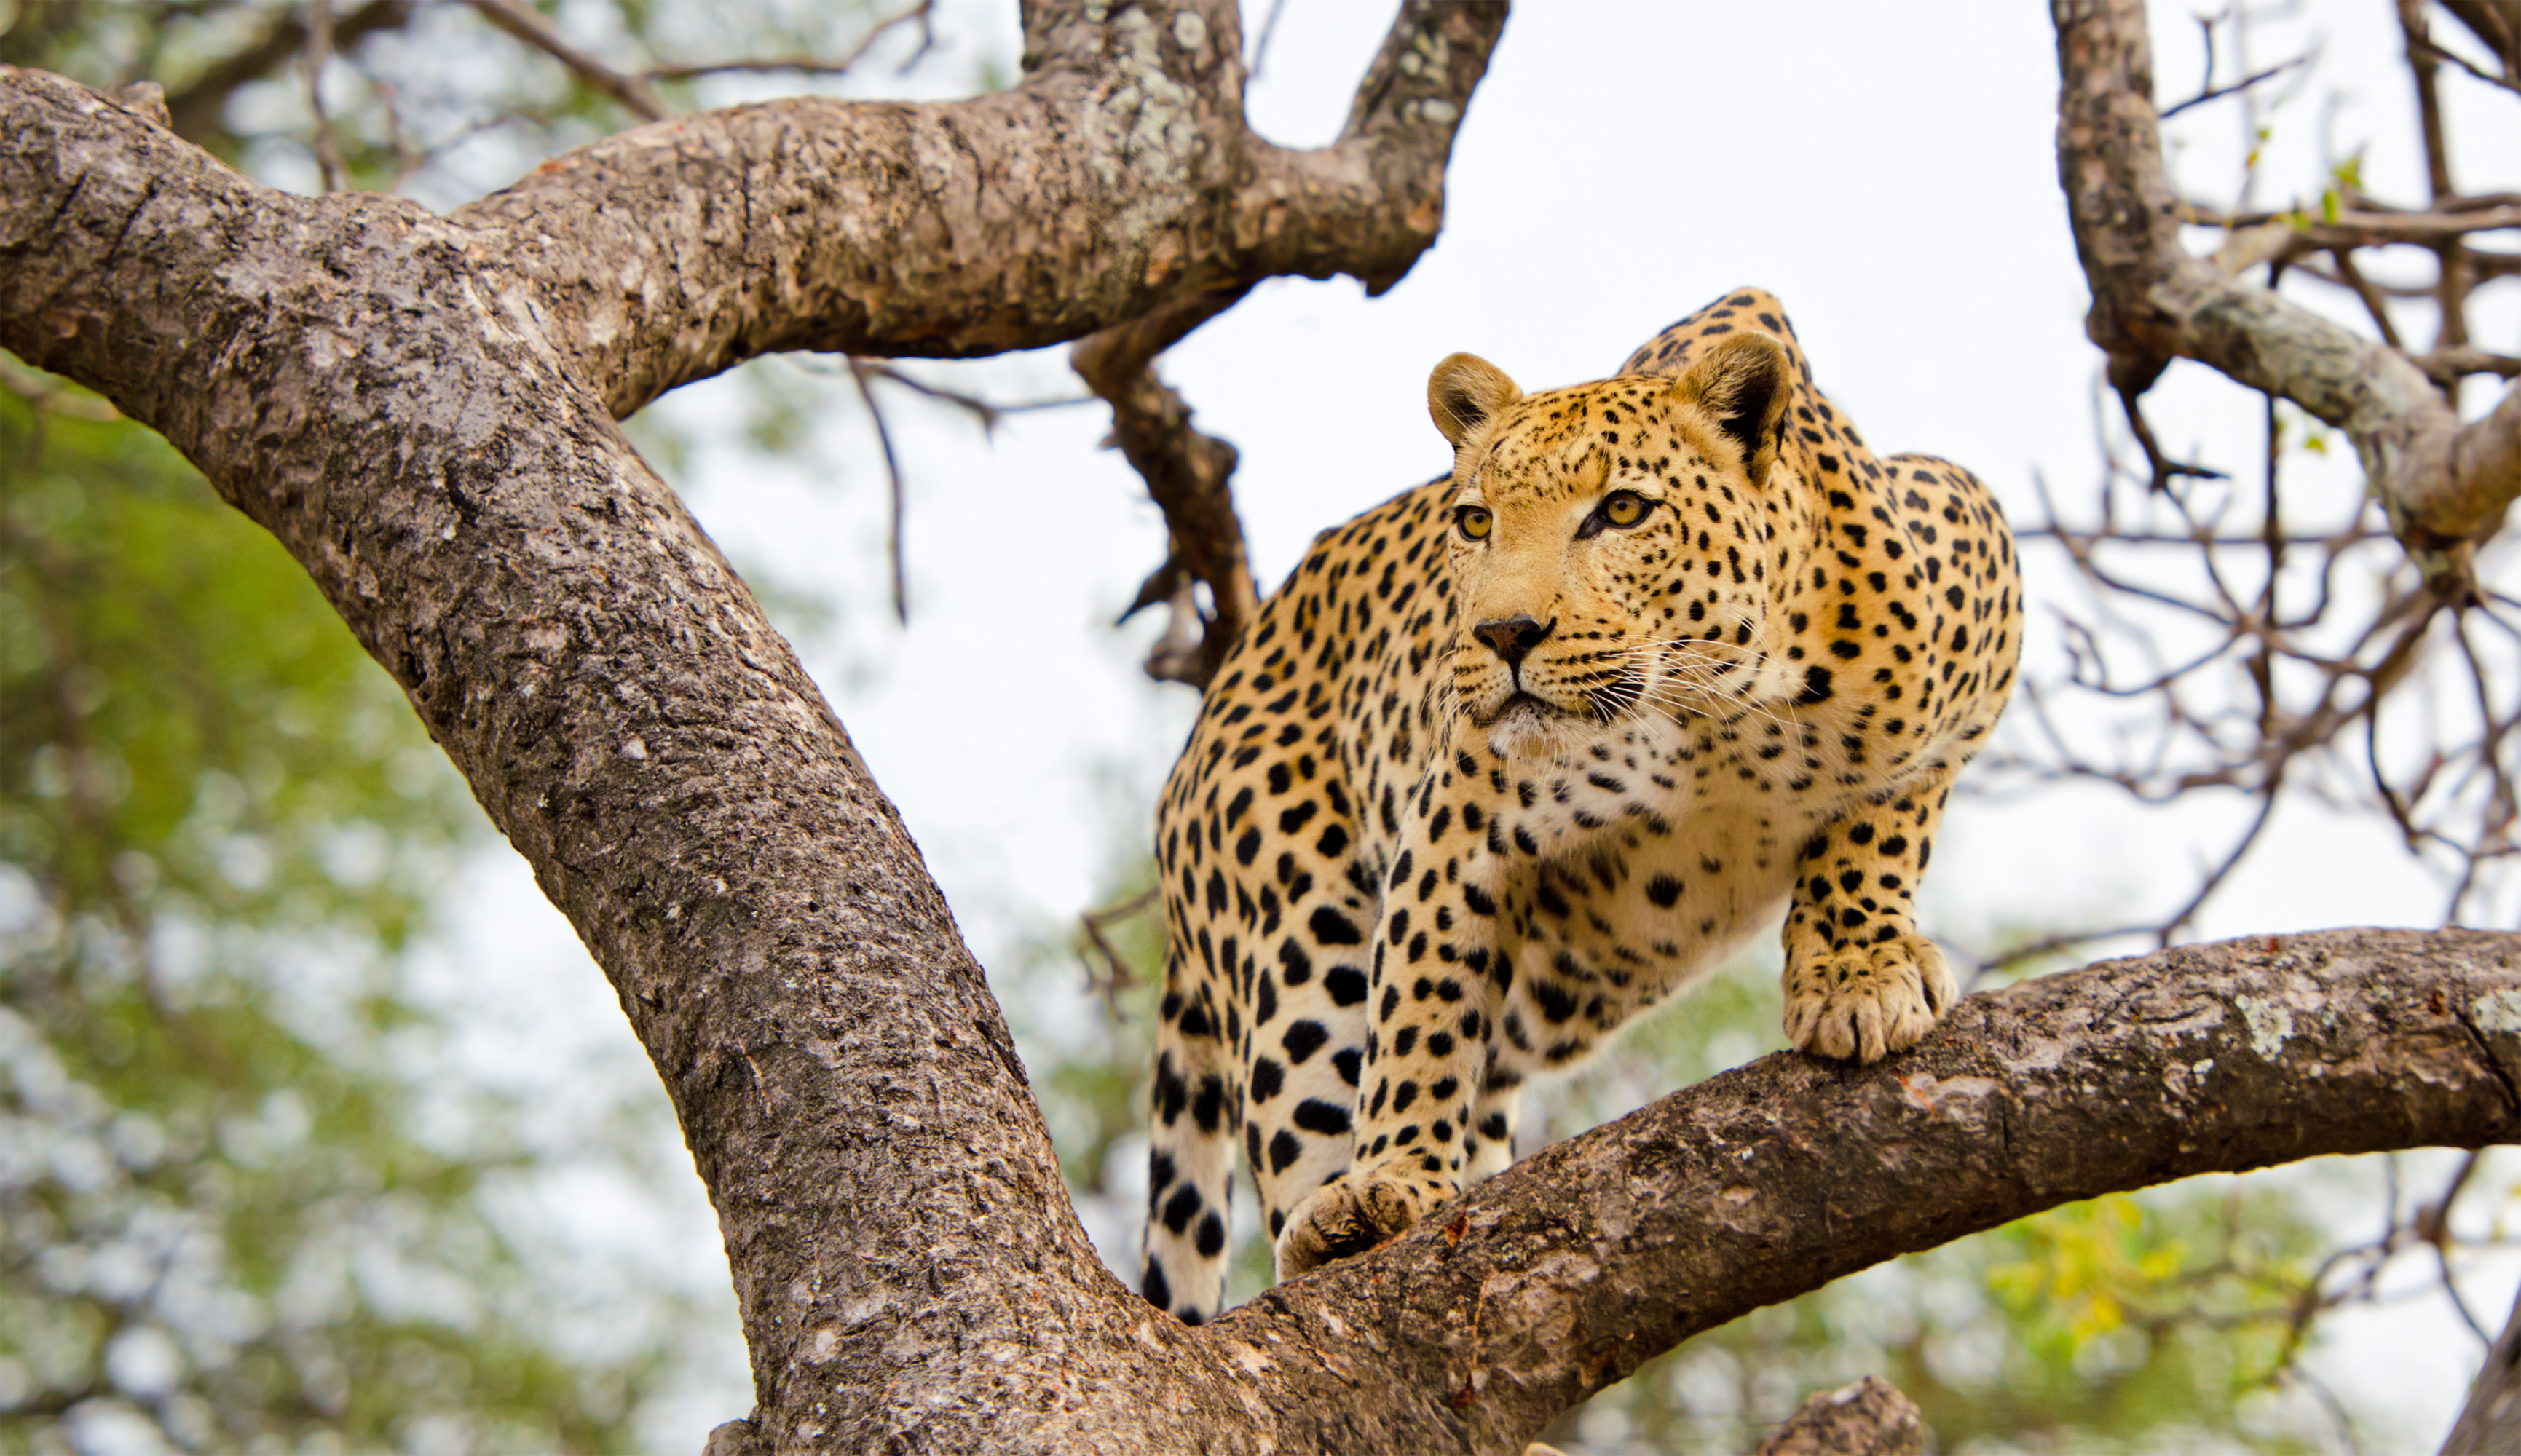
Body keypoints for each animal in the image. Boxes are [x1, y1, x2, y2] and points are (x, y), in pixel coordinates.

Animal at [1144, 289, 2027, 1320]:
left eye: (1623, 510)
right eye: (1475, 522)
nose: (1503, 632)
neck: (1717, 717)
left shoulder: (1977, 567)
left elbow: (1886, 809)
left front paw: (1858, 972)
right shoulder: (1457, 825)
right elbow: (1420, 1000)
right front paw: (1394, 1171)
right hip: (1291, 912)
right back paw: (1337, 1218)